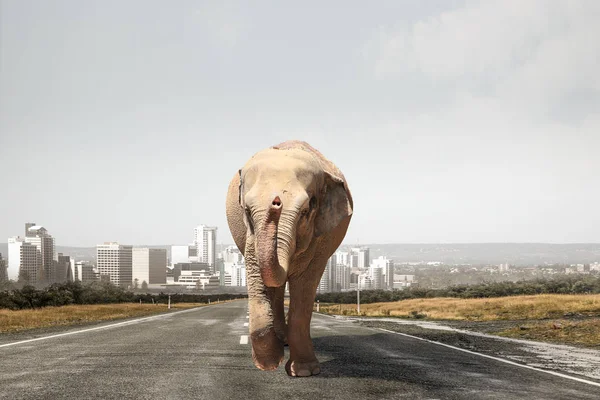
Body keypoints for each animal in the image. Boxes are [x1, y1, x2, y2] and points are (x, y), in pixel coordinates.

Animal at [227, 140, 354, 376]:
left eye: (305, 210)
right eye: (247, 211)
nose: (276, 202)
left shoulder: (321, 238)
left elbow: (305, 284)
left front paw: (304, 372)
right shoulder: (250, 236)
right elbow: (259, 277)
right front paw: (269, 362)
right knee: (276, 291)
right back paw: (280, 342)